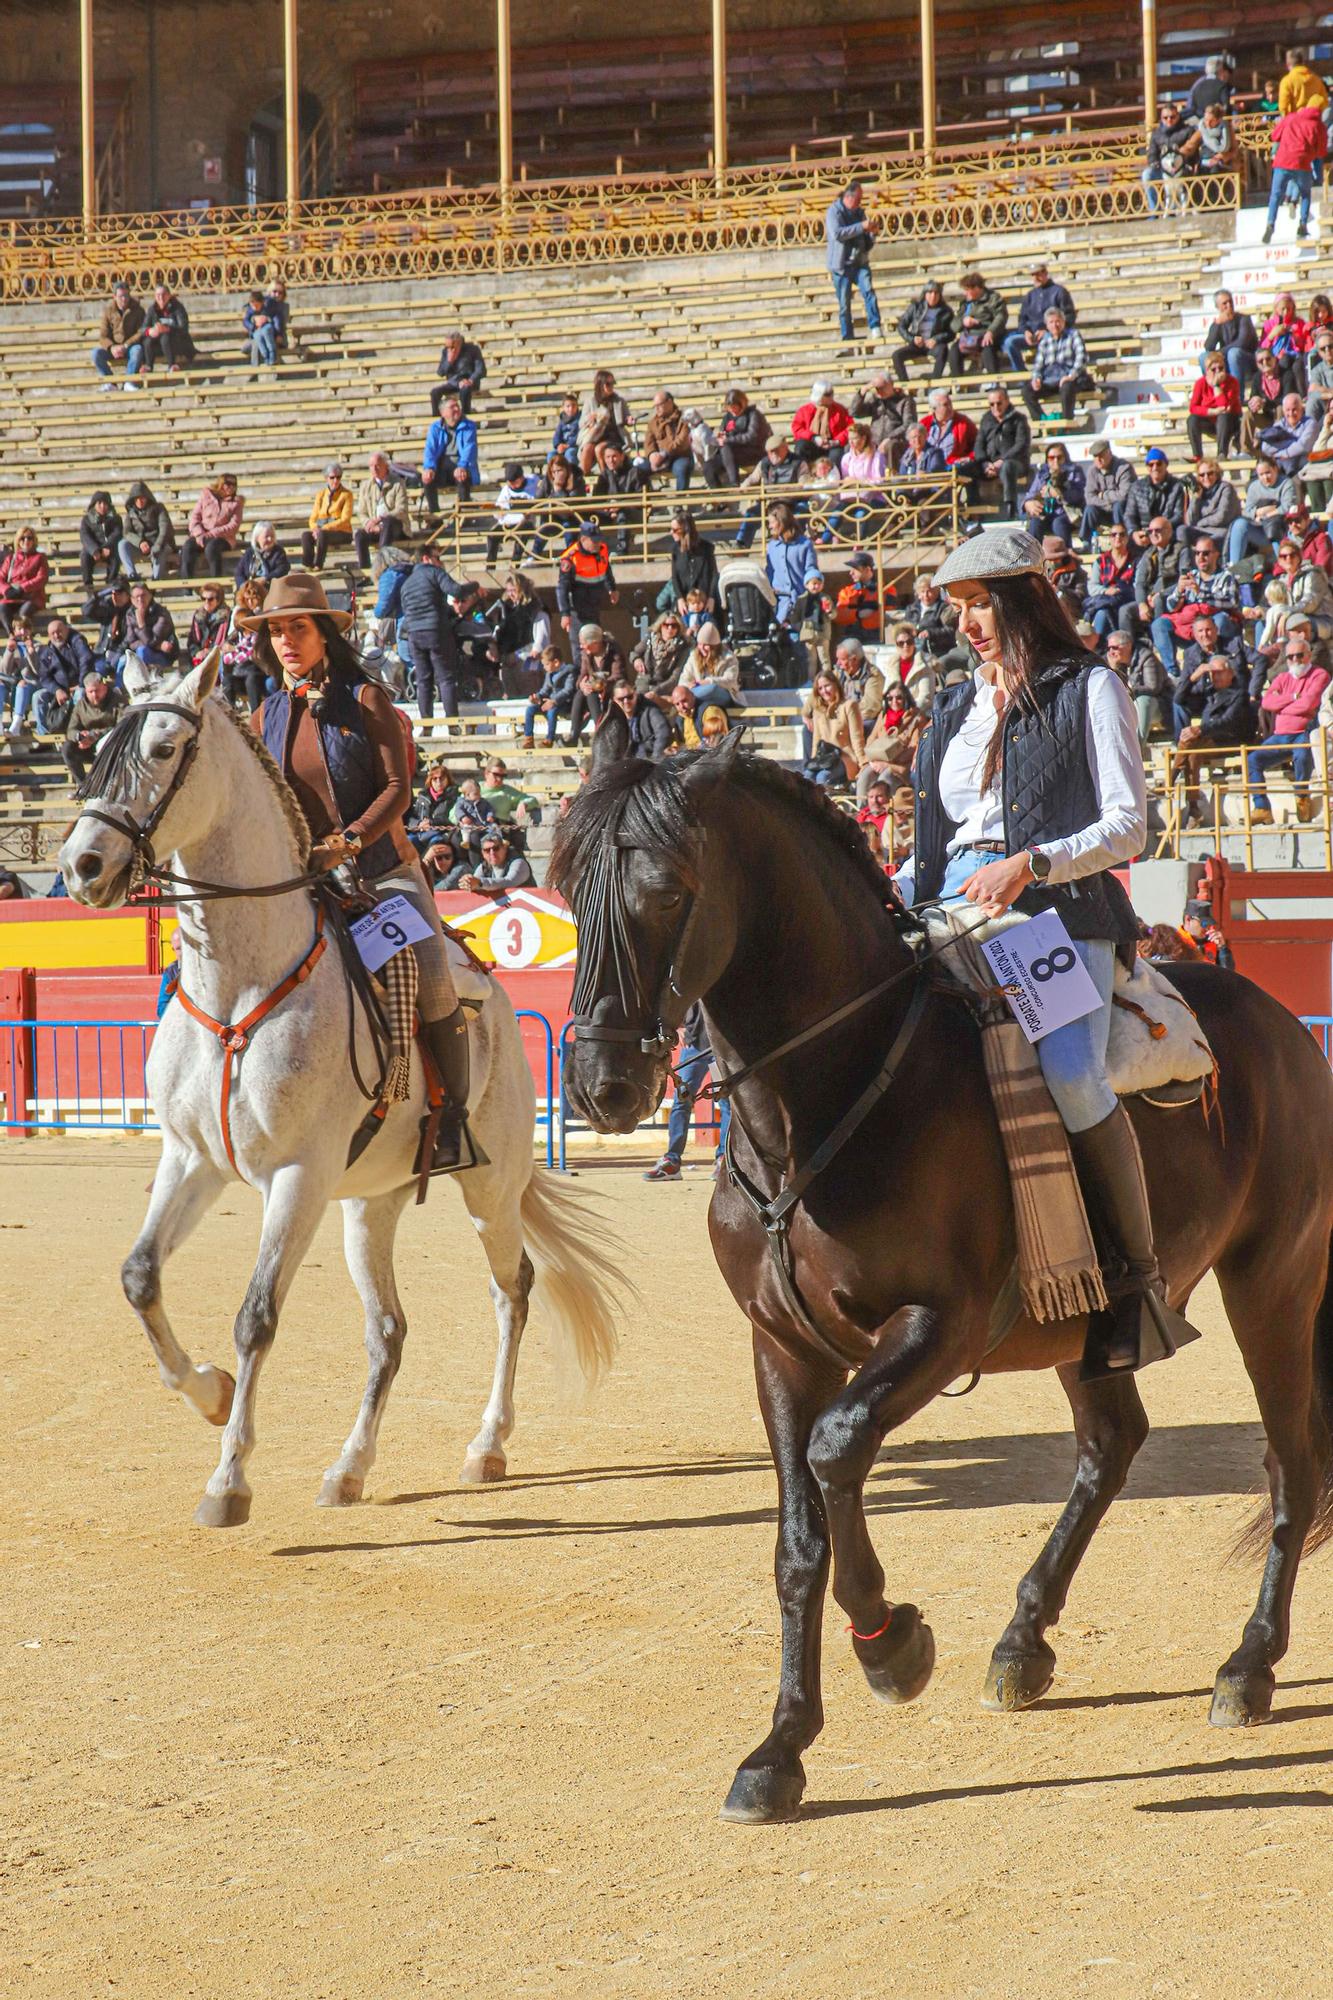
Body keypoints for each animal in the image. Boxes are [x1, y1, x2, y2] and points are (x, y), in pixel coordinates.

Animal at [58, 648, 624, 1520]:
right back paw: (348, 1468)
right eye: (92, 757)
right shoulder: (192, 1159)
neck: (241, 985)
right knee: (387, 1328)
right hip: (370, 1201)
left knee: (513, 1289)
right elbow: (139, 1276)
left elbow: (256, 1316)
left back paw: (487, 1446)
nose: (81, 866)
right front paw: (211, 1393)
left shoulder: (297, 1176)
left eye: (161, 750)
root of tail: (491, 993)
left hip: (490, 1182)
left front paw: (228, 1479)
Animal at [548, 724, 1328, 1832]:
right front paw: (779, 1749)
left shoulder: (937, 1325)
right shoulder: (778, 1346)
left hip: (1272, 1282)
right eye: (570, 888)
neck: (827, 1095)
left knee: (1288, 1463)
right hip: (1090, 1325)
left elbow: (837, 1453)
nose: (601, 1083)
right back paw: (1022, 1642)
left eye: (666, 887)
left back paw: (1247, 1666)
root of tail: (1281, 1025)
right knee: (1111, 1445)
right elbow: (795, 1538)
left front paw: (892, 1647)